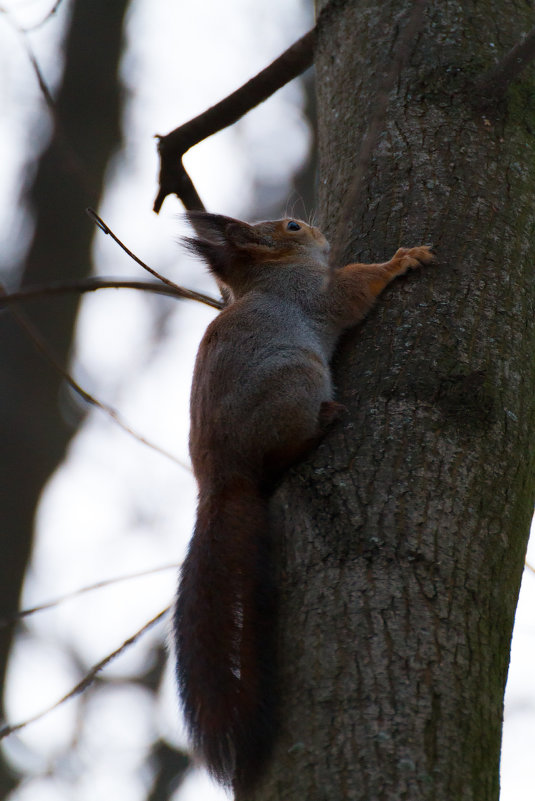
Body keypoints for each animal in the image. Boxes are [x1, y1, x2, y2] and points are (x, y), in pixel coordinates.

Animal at [176, 209, 436, 792]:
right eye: (291, 226)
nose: (318, 231)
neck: (266, 277)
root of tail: (220, 480)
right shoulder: (316, 295)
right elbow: (355, 287)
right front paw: (401, 260)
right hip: (297, 379)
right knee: (280, 455)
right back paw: (321, 426)